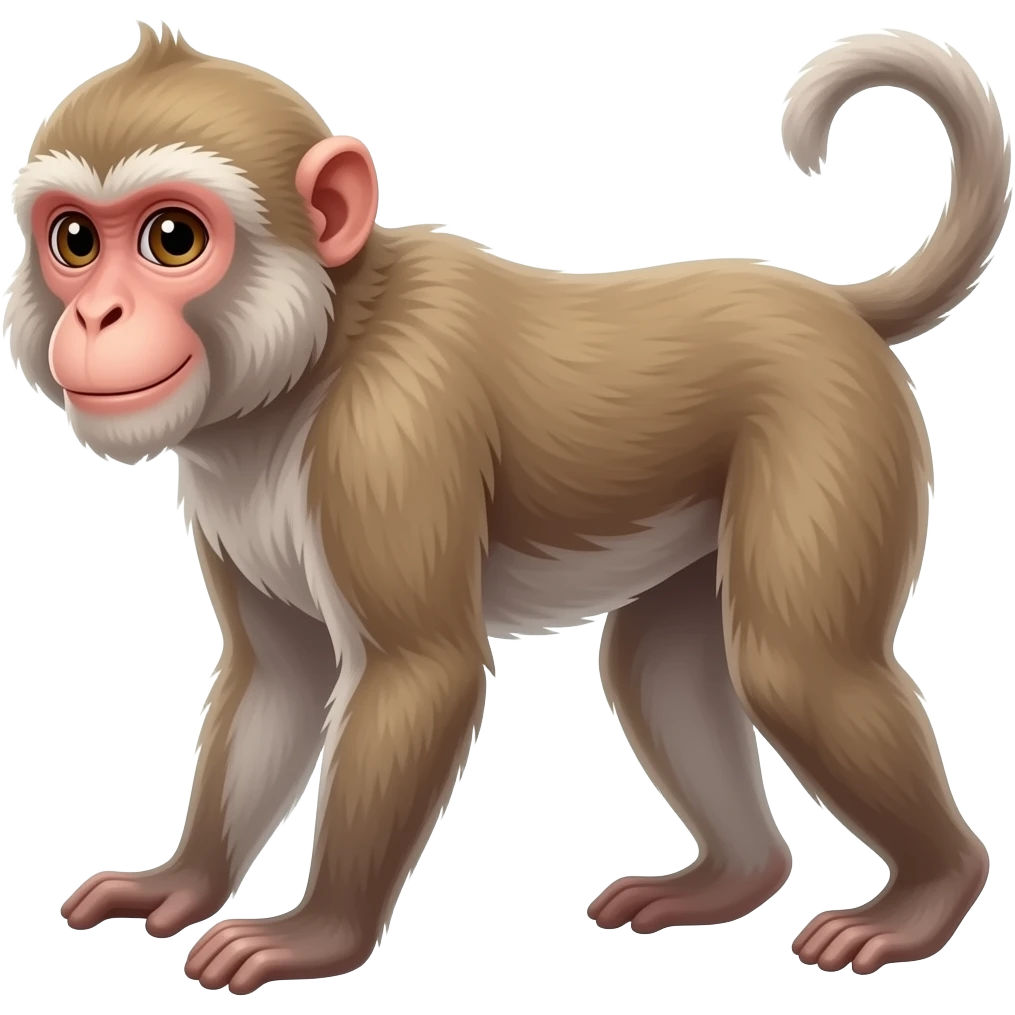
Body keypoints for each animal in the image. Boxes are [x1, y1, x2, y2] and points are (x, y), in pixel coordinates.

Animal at [4, 22, 1006, 993]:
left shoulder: (390, 433)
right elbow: (280, 677)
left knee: (791, 663)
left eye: (172, 237)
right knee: (657, 663)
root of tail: (832, 306)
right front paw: (184, 882)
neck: (317, 355)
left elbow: (420, 669)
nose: (96, 317)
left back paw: (929, 891)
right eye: (76, 242)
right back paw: (735, 878)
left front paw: (317, 935)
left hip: (829, 422)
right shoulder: (217, 484)